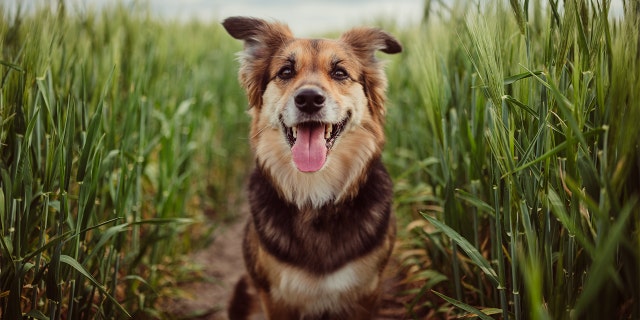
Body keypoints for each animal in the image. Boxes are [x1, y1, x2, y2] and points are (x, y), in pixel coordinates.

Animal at [222, 18, 402, 320]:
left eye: (340, 73)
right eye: (285, 71)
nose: (308, 99)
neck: (315, 195)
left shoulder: (366, 292)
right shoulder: (276, 299)